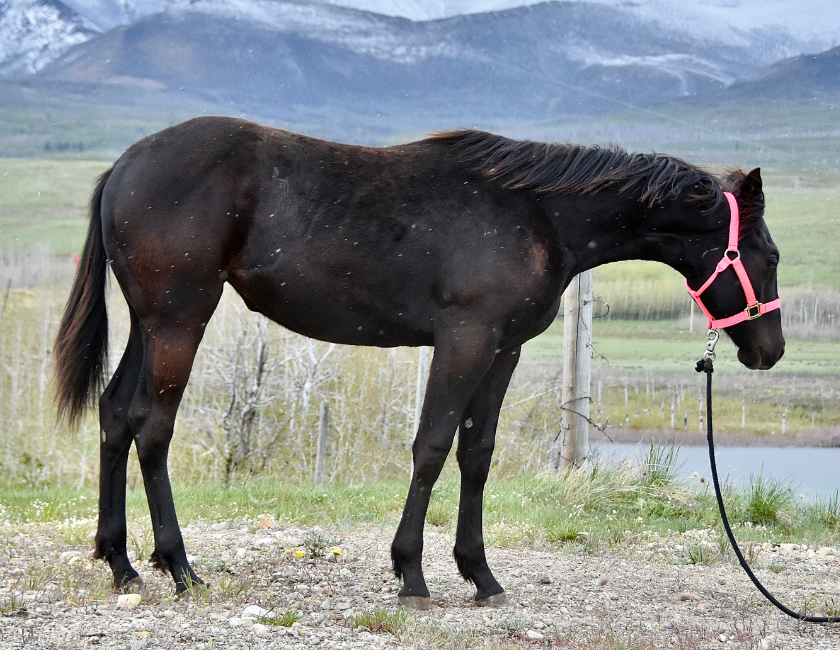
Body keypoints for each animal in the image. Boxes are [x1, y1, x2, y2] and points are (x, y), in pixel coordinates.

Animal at [54, 117, 784, 609]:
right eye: (769, 255)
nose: (769, 350)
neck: (538, 215)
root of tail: (123, 168)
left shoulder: (503, 349)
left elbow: (476, 454)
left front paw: (480, 574)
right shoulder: (465, 340)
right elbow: (432, 446)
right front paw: (411, 573)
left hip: (150, 325)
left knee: (116, 417)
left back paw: (120, 563)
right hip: (180, 322)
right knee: (153, 430)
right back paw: (179, 568)